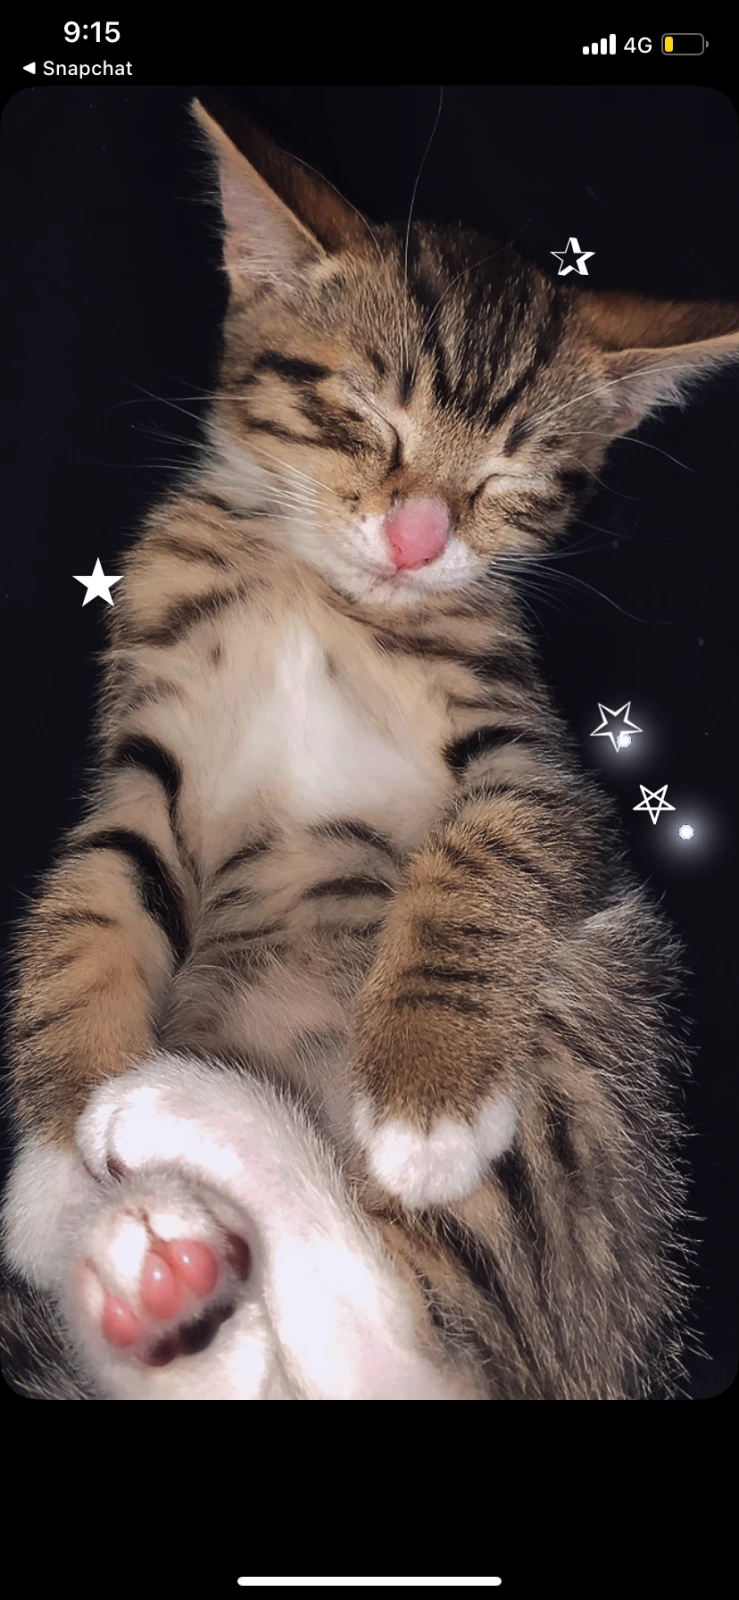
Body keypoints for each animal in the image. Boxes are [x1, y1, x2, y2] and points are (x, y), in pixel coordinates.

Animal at [1, 93, 737, 1400]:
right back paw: (156, 1266)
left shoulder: (531, 760)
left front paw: (426, 1100)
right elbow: (93, 895)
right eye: (362, 413)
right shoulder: (147, 759)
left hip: (598, 981)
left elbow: (494, 845)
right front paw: (53, 1180)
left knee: (397, 1343)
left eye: (513, 477)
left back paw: (205, 1134)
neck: (316, 592)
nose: (415, 536)